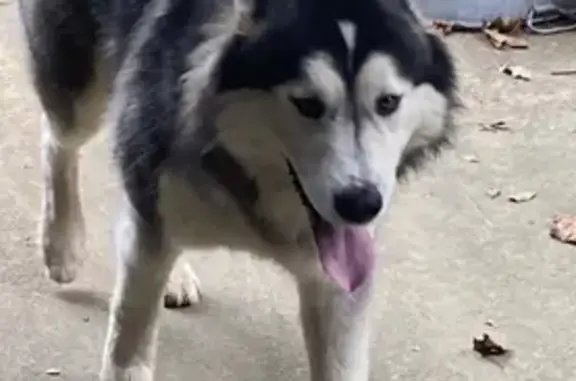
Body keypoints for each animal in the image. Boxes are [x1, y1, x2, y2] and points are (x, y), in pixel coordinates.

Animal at [18, 0, 456, 378]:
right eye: (307, 103)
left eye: (388, 102)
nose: (361, 203)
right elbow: (131, 336)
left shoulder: (337, 281)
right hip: (78, 89)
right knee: (59, 141)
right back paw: (62, 244)